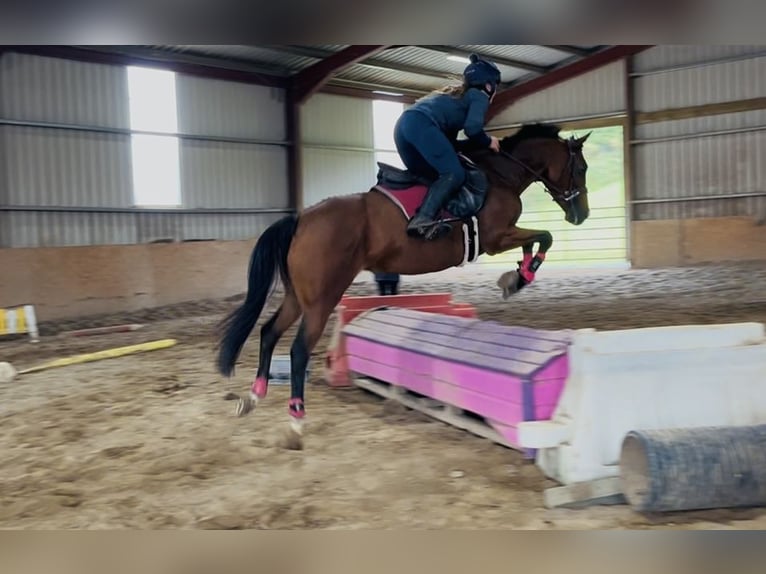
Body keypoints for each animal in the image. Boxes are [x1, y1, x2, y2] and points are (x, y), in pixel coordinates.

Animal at [216, 122, 591, 447]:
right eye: (582, 168)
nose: (581, 215)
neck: (501, 174)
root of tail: (301, 218)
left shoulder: (503, 237)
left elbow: (536, 241)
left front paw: (517, 277)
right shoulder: (497, 237)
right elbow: (545, 236)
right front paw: (519, 277)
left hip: (299, 296)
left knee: (268, 332)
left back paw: (253, 396)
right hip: (322, 298)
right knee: (297, 351)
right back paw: (296, 421)